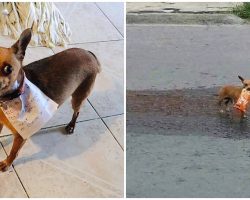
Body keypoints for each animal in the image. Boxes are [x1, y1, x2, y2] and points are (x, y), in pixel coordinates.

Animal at [0, 28, 100, 172]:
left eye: (8, 69)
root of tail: (89, 54)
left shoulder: (21, 137)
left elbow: (13, 152)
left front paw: (7, 164)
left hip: (78, 97)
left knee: (77, 112)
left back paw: (71, 126)